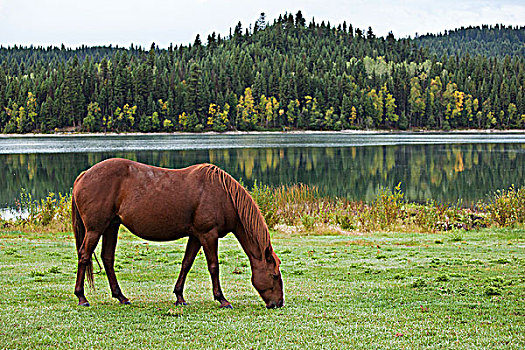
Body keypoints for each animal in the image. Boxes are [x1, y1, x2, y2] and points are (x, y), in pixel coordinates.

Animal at [72, 159, 284, 308]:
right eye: (274, 275)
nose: (278, 303)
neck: (223, 196)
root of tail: (84, 174)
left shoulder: (196, 236)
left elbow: (186, 264)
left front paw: (179, 296)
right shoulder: (208, 235)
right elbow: (213, 266)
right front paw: (222, 299)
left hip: (111, 227)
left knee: (107, 258)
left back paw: (121, 297)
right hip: (95, 229)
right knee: (84, 256)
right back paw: (82, 297)